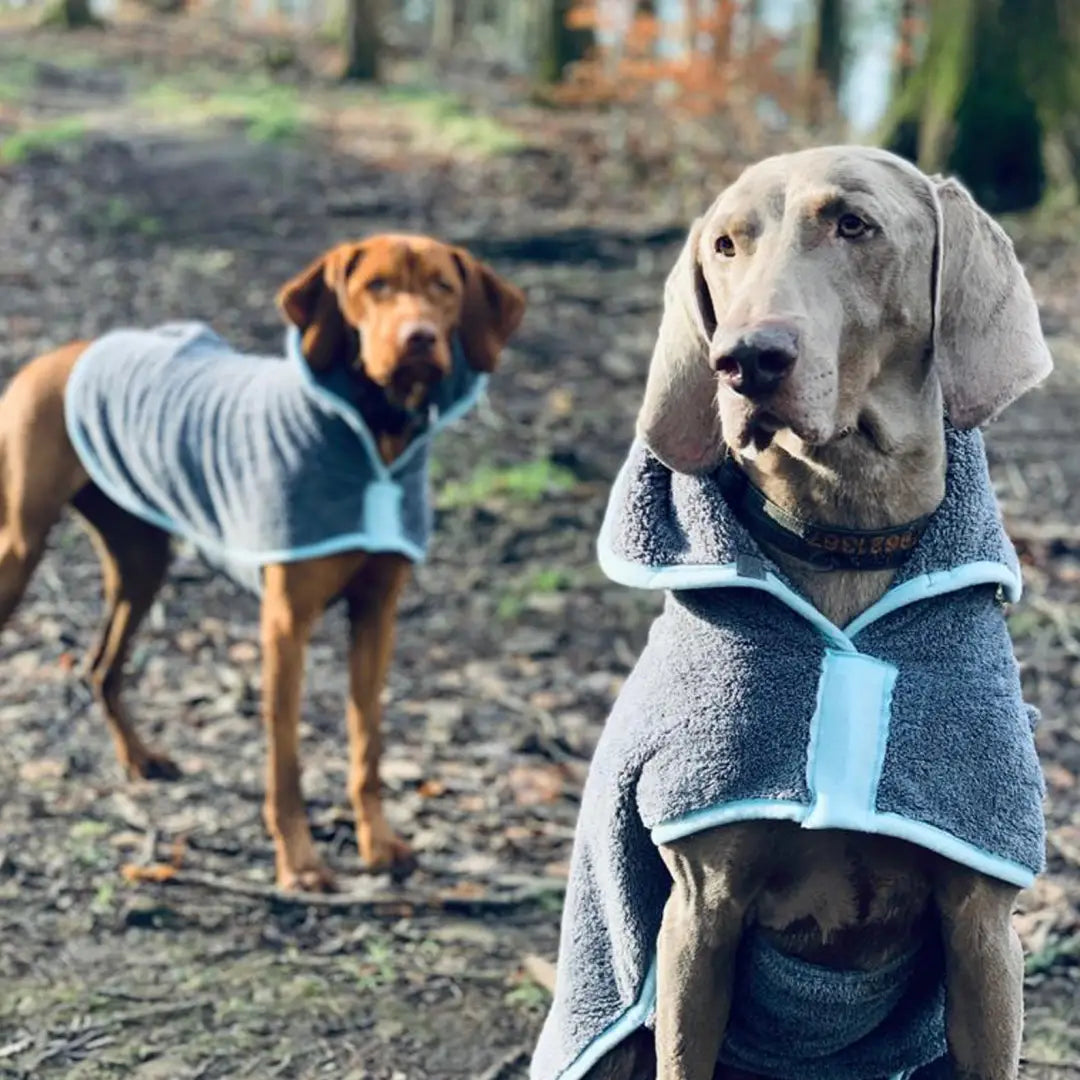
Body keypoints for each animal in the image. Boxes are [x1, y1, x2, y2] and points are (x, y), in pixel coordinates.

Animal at [0, 238, 527, 894]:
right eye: (376, 286)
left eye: (442, 288)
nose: (420, 337)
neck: (373, 436)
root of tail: (58, 354)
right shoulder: (285, 625)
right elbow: (286, 763)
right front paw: (299, 862)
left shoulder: (376, 616)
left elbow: (368, 743)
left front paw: (378, 843)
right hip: (22, 545)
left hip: (142, 560)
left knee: (101, 666)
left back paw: (140, 758)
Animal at [535, 147, 1049, 1080]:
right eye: (724, 245)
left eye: (853, 224)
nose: (745, 360)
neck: (842, 541)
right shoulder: (701, 912)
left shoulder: (982, 929)